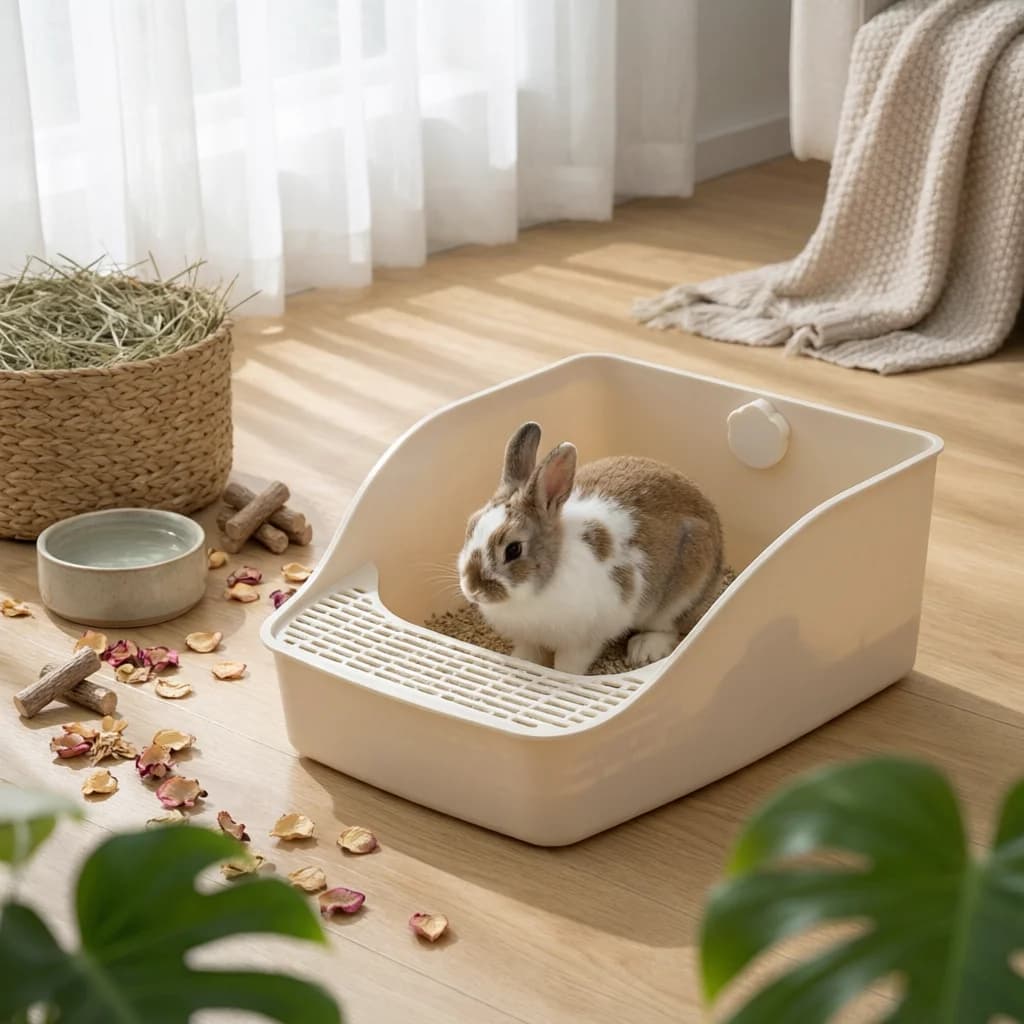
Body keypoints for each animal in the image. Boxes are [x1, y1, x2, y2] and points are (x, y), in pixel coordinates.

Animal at [458, 421, 724, 675]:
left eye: (513, 550)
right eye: (470, 526)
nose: (473, 590)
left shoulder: (585, 639)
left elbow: (568, 664)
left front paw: (564, 675)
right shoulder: (528, 638)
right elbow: (526, 655)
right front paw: (520, 663)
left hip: (680, 594)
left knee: (670, 629)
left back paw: (644, 649)